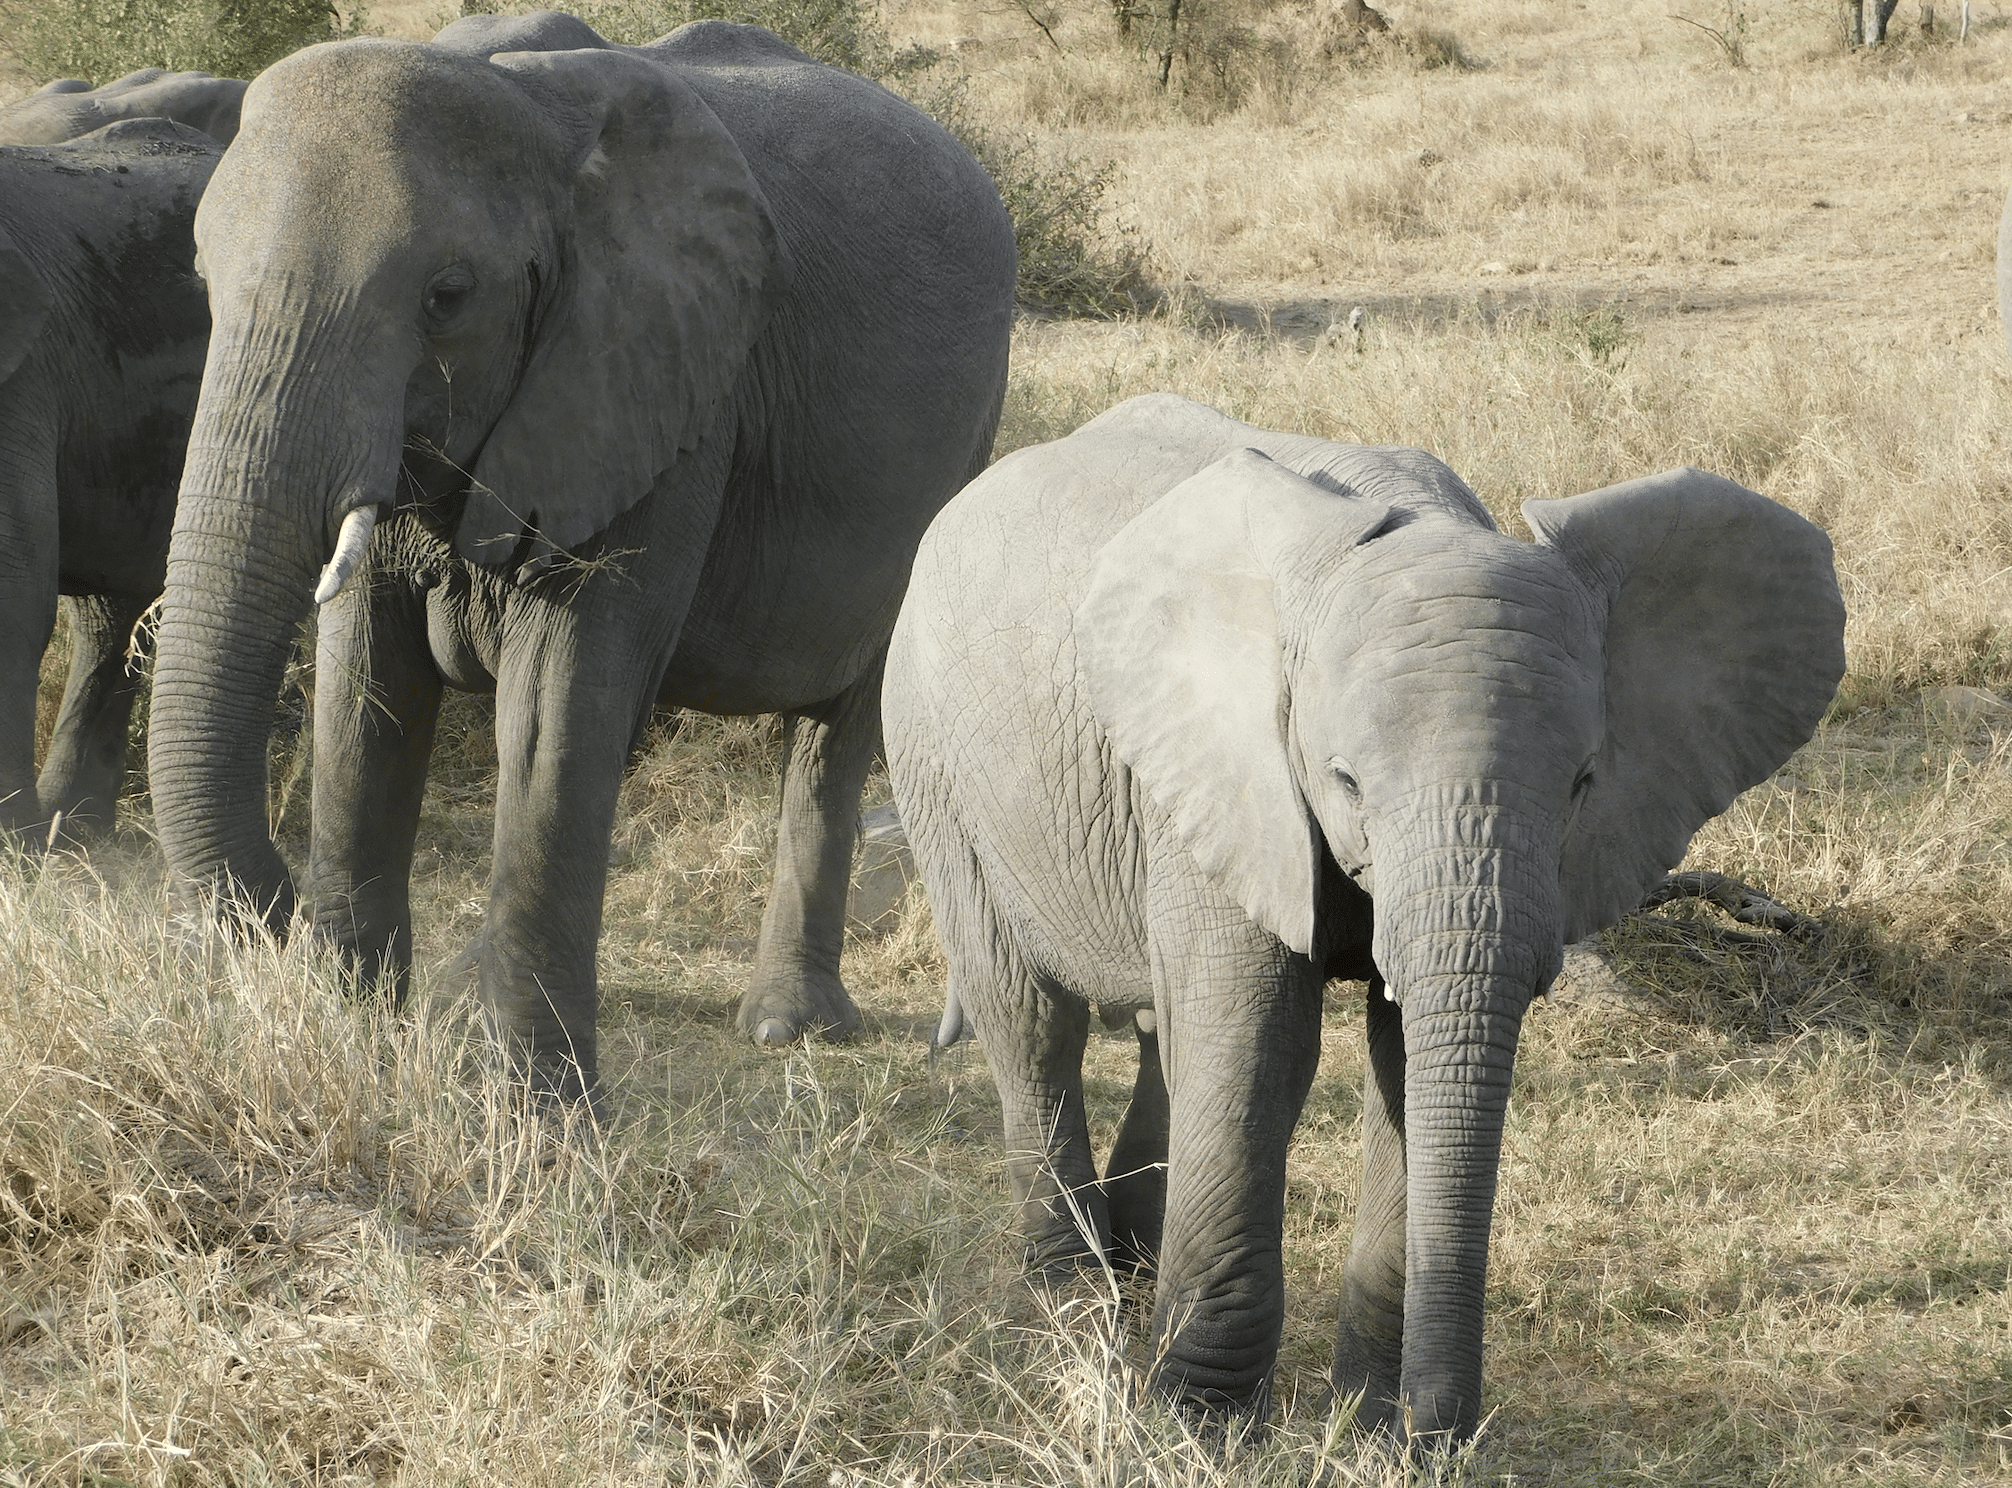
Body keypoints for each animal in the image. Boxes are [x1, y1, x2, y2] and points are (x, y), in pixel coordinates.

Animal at [148, 8, 1014, 1101]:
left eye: (446, 295)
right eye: (201, 279)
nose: (263, 914)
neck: (526, 101)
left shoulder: (670, 388)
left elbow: (556, 702)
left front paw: (539, 1105)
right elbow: (364, 688)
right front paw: (348, 1029)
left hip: (952, 460)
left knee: (840, 729)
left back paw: (788, 1027)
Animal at [881, 396, 1842, 1439]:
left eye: (1584, 783)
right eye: (1344, 779)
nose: (1444, 1435)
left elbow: (1401, 1050)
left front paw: (1370, 1426)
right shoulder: (1232, 767)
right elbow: (1258, 1043)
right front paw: (1198, 1427)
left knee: (1155, 1027)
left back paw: (1134, 1266)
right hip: (929, 758)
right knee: (1032, 1020)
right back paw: (1074, 1313)